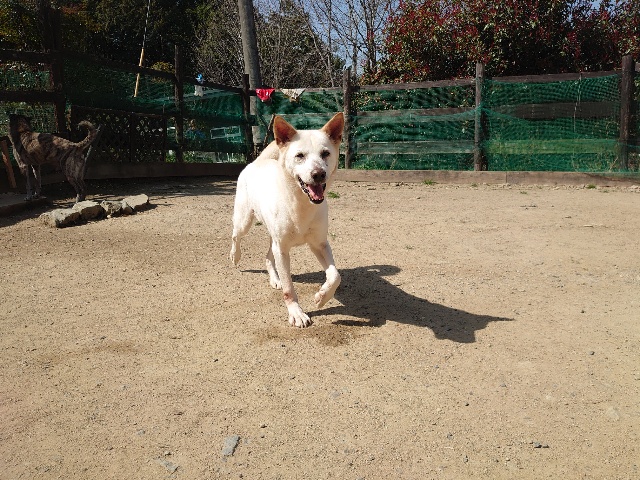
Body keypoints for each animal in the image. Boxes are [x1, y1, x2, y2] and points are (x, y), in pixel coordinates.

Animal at [230, 113, 344, 327]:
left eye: (325, 153)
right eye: (299, 156)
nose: (319, 174)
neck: (301, 203)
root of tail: (259, 161)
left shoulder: (320, 244)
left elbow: (335, 275)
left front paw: (322, 297)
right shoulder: (282, 250)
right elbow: (289, 288)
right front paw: (296, 313)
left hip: (272, 236)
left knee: (268, 256)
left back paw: (275, 279)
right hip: (244, 220)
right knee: (236, 236)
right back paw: (235, 256)